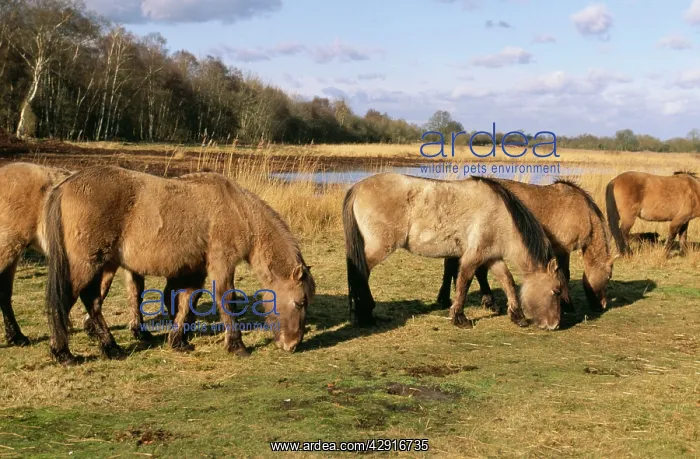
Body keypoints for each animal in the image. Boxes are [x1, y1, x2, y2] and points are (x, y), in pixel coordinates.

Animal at [43, 165, 315, 364]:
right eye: (300, 302)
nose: (293, 345)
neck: (238, 209)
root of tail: (65, 186)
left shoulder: (194, 270)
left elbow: (186, 302)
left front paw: (178, 341)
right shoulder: (221, 264)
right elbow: (225, 300)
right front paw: (237, 345)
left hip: (104, 265)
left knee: (93, 301)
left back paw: (111, 348)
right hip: (87, 264)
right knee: (67, 301)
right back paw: (63, 353)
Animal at [343, 172, 567, 331]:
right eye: (556, 290)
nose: (555, 325)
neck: (501, 216)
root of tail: (358, 187)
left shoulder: (492, 257)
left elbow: (508, 281)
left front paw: (517, 316)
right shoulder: (473, 257)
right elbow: (463, 284)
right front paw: (460, 318)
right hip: (378, 249)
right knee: (360, 274)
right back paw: (366, 314)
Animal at [438, 179, 616, 312]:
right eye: (608, 277)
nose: (602, 306)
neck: (584, 212)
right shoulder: (563, 250)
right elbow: (565, 275)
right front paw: (567, 305)